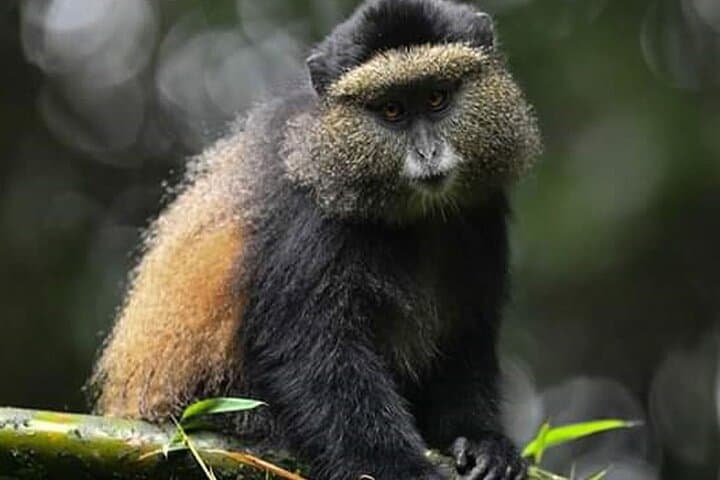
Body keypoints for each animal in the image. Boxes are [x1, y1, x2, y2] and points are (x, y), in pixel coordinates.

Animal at [90, 1, 542, 480]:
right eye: (392, 110)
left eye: (437, 98)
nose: (427, 153)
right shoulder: (311, 215)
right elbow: (309, 351)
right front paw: (397, 465)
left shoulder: (481, 214)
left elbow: (464, 338)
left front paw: (483, 442)